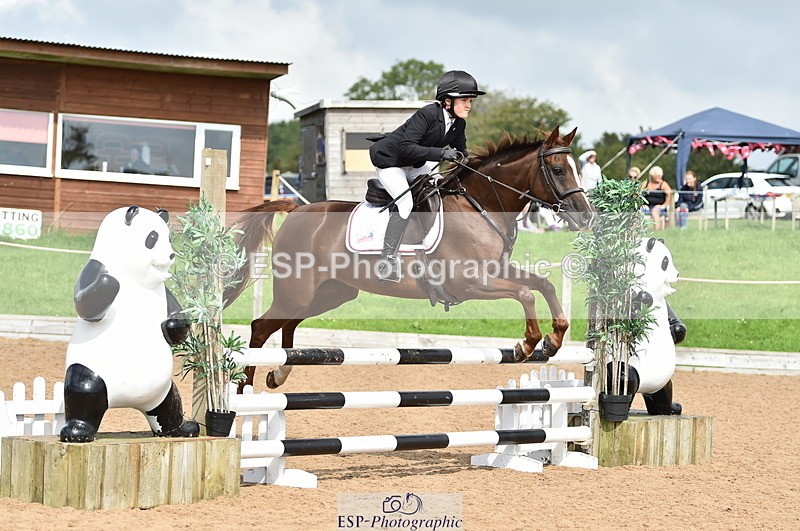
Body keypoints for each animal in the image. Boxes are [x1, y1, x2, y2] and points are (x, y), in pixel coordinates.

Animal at [225, 126, 595, 389]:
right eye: (559, 170)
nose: (587, 217)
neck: (480, 206)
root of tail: (297, 209)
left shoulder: (496, 271)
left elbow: (542, 284)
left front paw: (554, 340)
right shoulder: (469, 283)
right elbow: (524, 293)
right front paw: (527, 344)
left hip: (330, 293)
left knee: (288, 324)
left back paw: (278, 375)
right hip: (298, 291)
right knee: (261, 327)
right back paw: (244, 390)